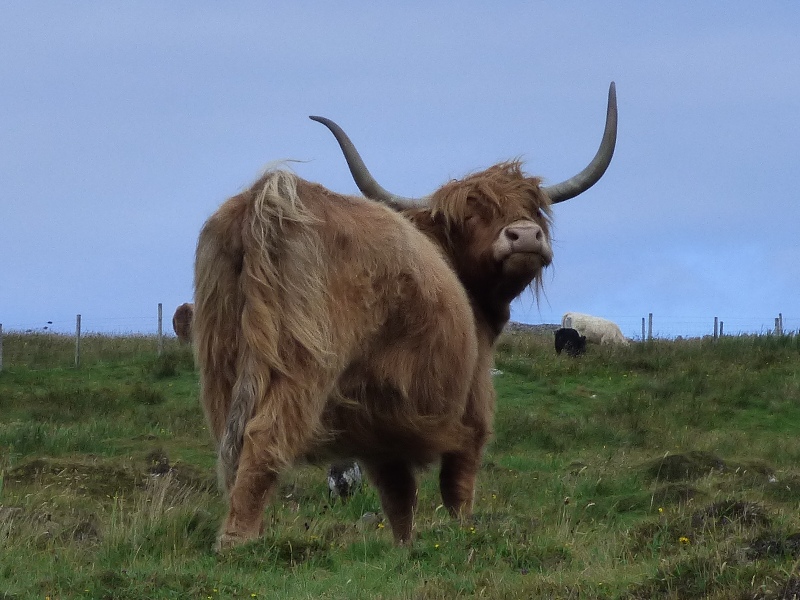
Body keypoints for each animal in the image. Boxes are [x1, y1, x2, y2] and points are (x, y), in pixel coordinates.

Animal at [195, 82, 620, 552]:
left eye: (537, 206)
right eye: (469, 214)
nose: (525, 235)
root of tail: (272, 194)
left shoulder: (383, 428)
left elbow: (399, 496)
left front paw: (404, 549)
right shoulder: (472, 405)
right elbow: (457, 486)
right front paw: (460, 536)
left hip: (223, 362)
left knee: (231, 444)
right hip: (302, 362)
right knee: (263, 436)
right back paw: (237, 542)